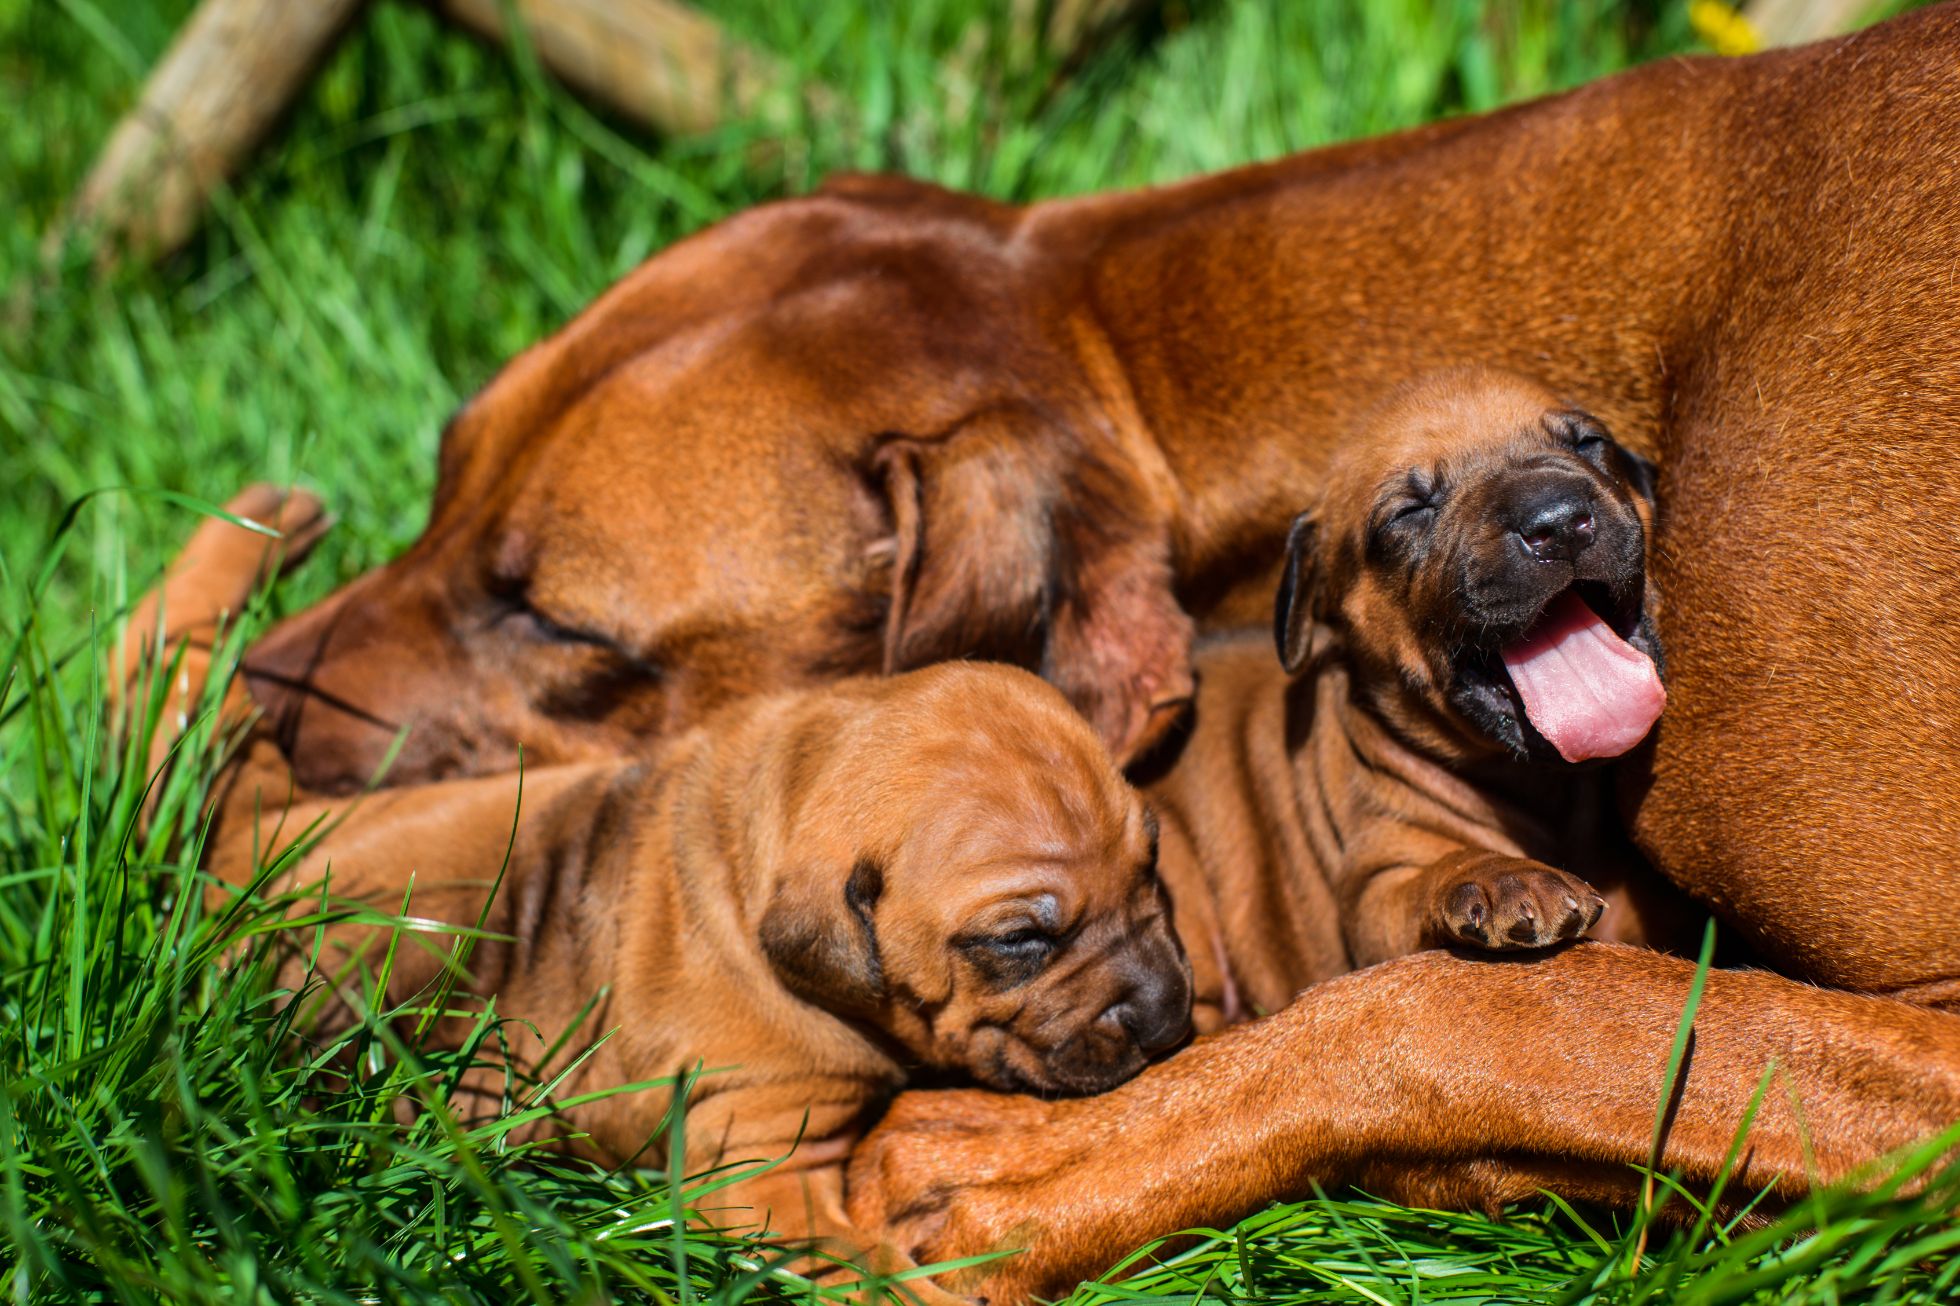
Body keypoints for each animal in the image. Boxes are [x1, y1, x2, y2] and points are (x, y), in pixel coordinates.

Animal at [1262, 362, 1677, 956]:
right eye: (1411, 511)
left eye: (1589, 443)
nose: (1557, 522)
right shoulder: (1378, 887)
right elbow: (1436, 870)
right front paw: (1501, 876)